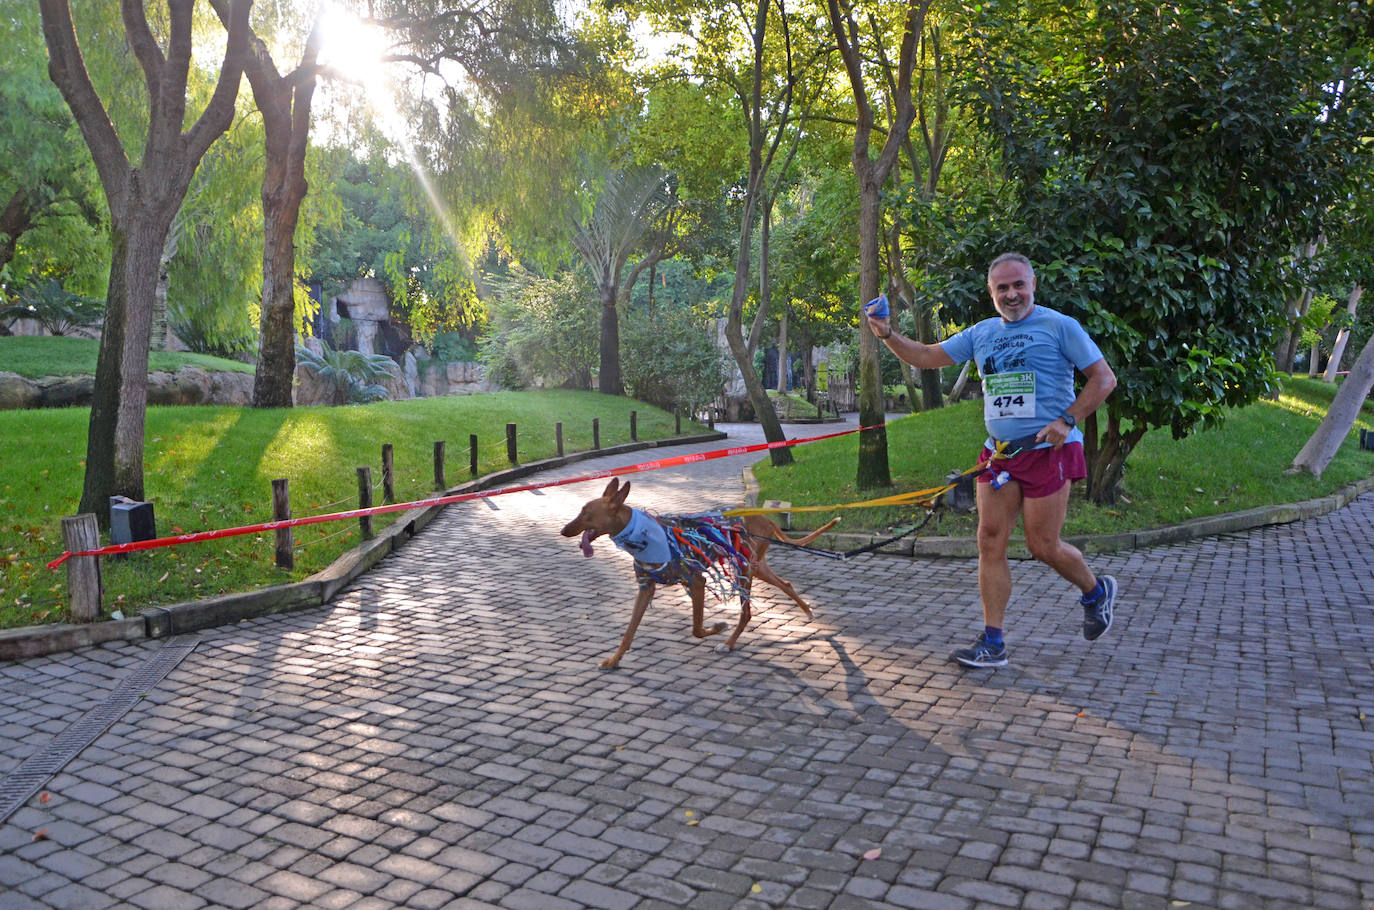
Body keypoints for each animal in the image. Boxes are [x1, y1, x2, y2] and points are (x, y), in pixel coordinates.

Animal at [557, 478, 835, 670]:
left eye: (586, 514)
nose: (563, 530)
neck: (640, 534)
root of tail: (765, 518)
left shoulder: (696, 581)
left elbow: (697, 629)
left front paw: (718, 626)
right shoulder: (646, 588)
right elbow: (629, 631)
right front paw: (614, 660)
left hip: (745, 570)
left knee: (746, 612)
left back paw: (728, 643)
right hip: (756, 566)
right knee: (785, 583)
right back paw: (807, 612)